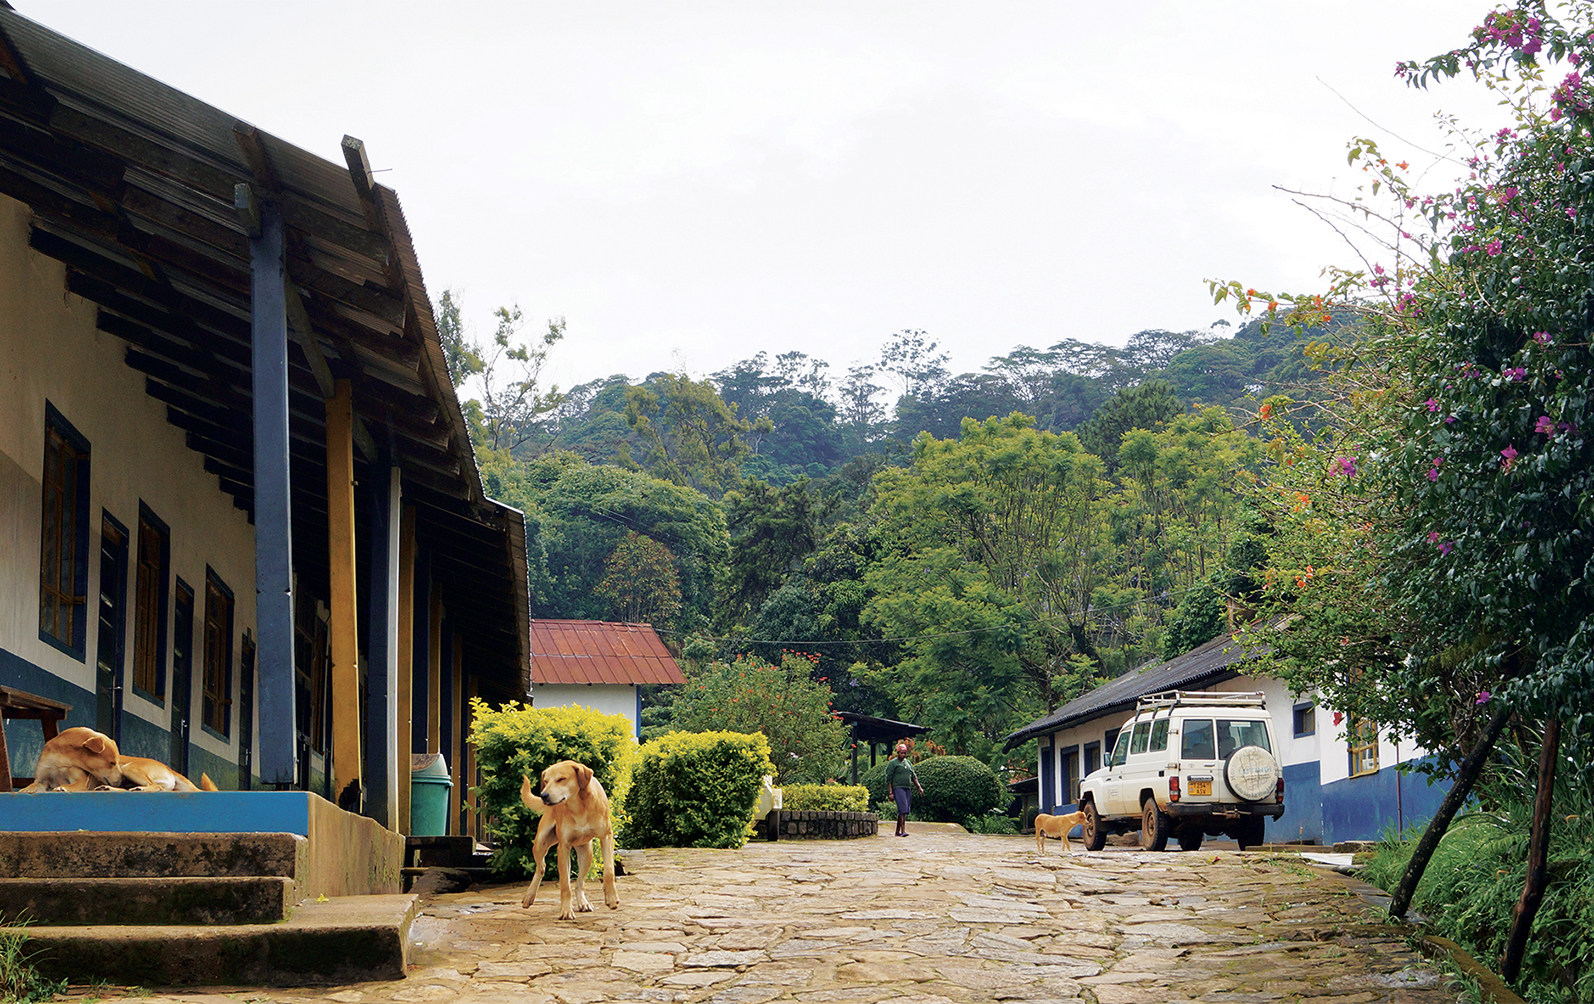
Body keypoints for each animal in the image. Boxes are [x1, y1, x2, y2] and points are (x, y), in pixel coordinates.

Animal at [17, 733, 218, 793]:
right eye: (111, 762)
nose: (120, 779)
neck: (62, 757)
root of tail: (169, 768)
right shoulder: (41, 781)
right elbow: (31, 786)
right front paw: (23, 790)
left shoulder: (82, 781)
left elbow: (72, 784)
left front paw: (63, 788)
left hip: (129, 769)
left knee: (157, 788)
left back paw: (140, 789)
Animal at [516, 761, 615, 917]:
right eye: (545, 781)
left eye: (561, 779)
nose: (543, 795)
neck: (579, 807)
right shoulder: (563, 847)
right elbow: (565, 884)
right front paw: (566, 910)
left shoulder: (606, 837)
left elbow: (609, 871)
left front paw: (611, 899)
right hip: (540, 842)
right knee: (541, 867)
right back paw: (529, 896)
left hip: (586, 853)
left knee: (580, 882)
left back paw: (583, 902)